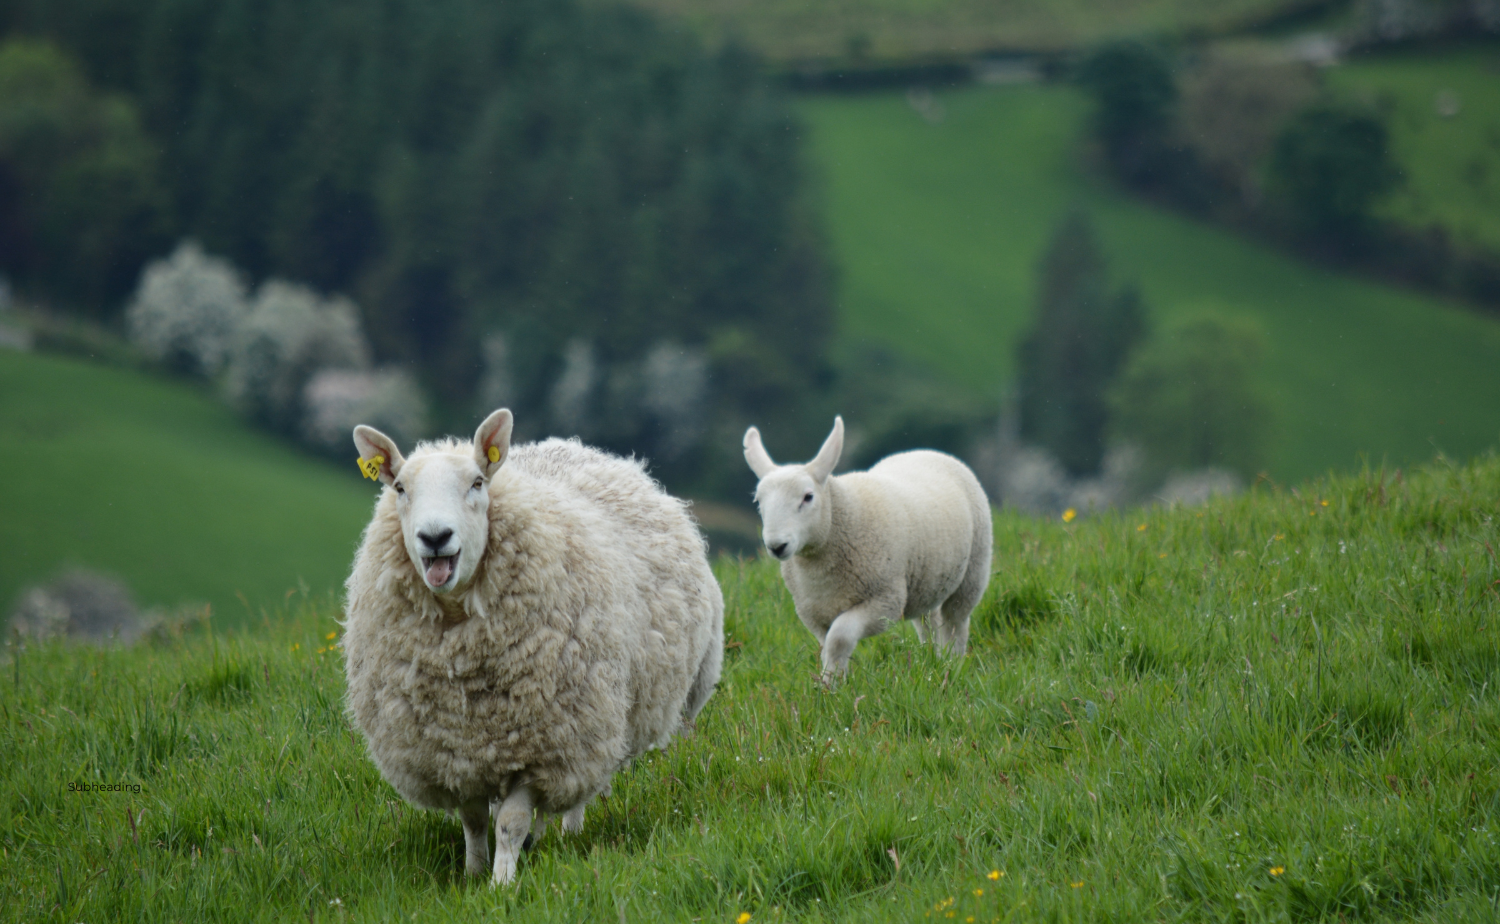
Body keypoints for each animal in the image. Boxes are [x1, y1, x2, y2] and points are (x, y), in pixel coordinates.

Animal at [342, 409, 723, 885]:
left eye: (477, 483)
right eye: (399, 488)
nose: (435, 537)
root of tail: (576, 447)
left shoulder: (542, 745)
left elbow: (510, 821)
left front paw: (501, 884)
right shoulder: (453, 750)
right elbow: (474, 820)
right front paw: (472, 874)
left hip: (594, 720)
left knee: (581, 788)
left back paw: (567, 834)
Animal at [743, 416, 992, 683]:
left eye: (808, 497)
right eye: (758, 501)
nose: (776, 546)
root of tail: (925, 451)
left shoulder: (885, 601)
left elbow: (840, 637)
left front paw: (831, 684)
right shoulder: (813, 613)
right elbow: (828, 646)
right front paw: (832, 682)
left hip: (973, 571)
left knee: (955, 622)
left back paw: (952, 664)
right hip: (927, 579)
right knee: (929, 621)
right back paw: (933, 662)